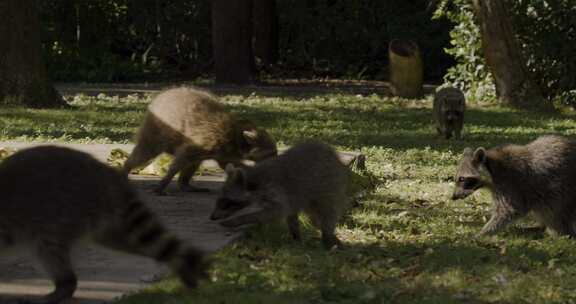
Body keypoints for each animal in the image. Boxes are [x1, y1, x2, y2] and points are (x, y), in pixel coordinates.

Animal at [0, 146, 209, 302]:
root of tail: (106, 173)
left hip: (65, 210)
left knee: (48, 248)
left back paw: (65, 285)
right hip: (104, 217)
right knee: (131, 240)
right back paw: (180, 262)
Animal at [124, 86, 280, 195]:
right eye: (271, 153)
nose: (277, 161)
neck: (237, 136)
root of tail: (161, 95)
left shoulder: (225, 151)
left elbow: (228, 164)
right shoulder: (209, 140)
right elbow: (180, 160)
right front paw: (165, 180)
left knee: (194, 162)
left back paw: (185, 183)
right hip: (155, 130)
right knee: (146, 152)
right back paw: (127, 167)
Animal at [210, 140, 348, 249]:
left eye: (226, 201)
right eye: (219, 200)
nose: (212, 217)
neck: (255, 181)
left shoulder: (276, 192)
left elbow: (275, 212)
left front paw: (240, 219)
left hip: (330, 187)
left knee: (327, 214)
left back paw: (327, 235)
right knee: (300, 216)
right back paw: (296, 237)